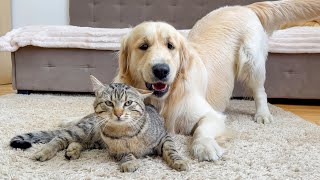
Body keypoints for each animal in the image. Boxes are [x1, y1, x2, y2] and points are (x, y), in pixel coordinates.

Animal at [10, 75, 188, 172]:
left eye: (128, 103)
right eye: (109, 103)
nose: (118, 113)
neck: (126, 134)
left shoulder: (164, 137)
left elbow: (171, 150)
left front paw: (179, 161)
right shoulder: (115, 150)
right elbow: (125, 153)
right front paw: (130, 162)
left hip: (96, 141)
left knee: (82, 143)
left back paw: (73, 150)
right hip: (84, 130)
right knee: (60, 138)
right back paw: (45, 151)